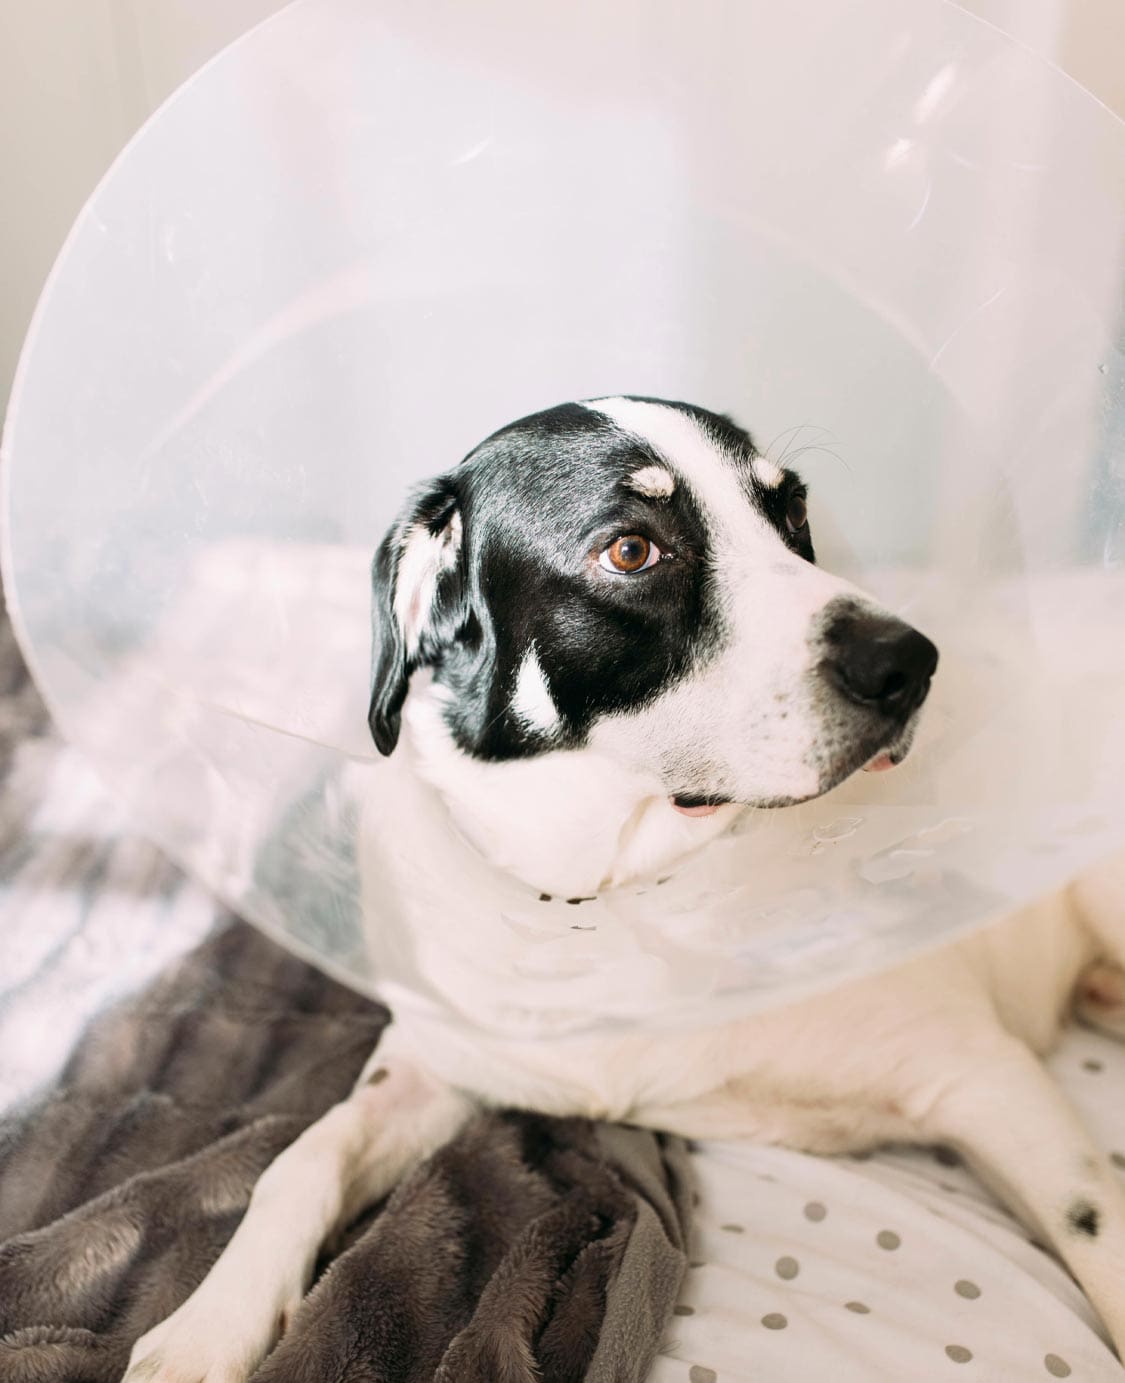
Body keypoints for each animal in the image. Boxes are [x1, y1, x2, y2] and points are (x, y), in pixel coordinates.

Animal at [123, 395, 1123, 1377]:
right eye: (632, 550)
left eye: (790, 513)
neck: (616, 890)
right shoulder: (435, 1060)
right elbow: (303, 1153)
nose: (908, 662)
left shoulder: (980, 1071)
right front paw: (209, 1325)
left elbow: (1098, 1222)